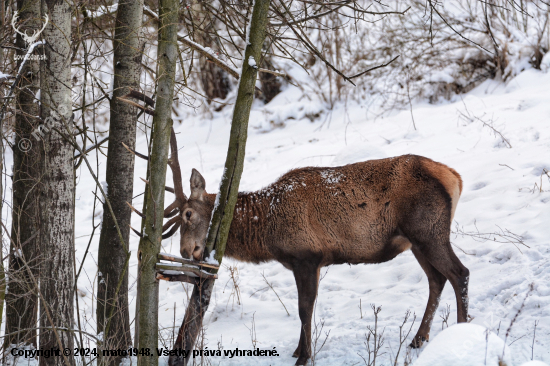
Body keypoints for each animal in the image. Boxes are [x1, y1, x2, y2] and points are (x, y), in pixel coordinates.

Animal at [138, 126, 470, 366]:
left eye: (188, 214)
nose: (186, 252)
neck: (267, 231)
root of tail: (455, 177)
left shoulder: (307, 257)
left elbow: (304, 307)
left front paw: (304, 356)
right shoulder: (306, 262)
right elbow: (304, 308)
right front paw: (299, 350)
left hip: (429, 231)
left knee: (459, 273)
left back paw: (462, 328)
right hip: (416, 241)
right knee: (437, 279)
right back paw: (419, 338)